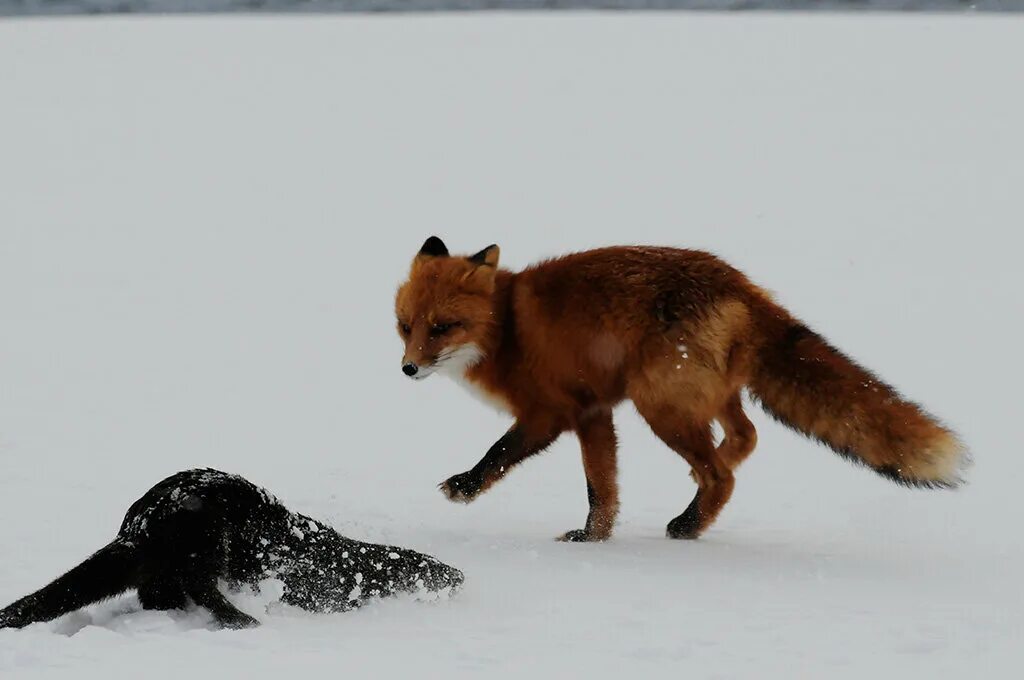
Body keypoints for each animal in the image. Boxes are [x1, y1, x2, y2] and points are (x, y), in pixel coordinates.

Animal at [0, 471, 464, 630]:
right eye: (442, 571)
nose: (460, 576)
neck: (352, 566)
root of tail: (140, 523)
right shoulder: (322, 586)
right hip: (203, 535)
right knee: (200, 585)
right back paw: (243, 619)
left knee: (158, 592)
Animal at [395, 237, 970, 540]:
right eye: (405, 326)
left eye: (442, 327)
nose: (408, 369)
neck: (508, 330)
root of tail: (744, 287)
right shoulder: (596, 413)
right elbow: (604, 488)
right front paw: (595, 538)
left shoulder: (558, 411)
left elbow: (503, 453)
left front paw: (467, 488)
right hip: (700, 398)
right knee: (744, 438)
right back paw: (700, 487)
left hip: (660, 405)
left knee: (723, 474)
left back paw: (690, 523)